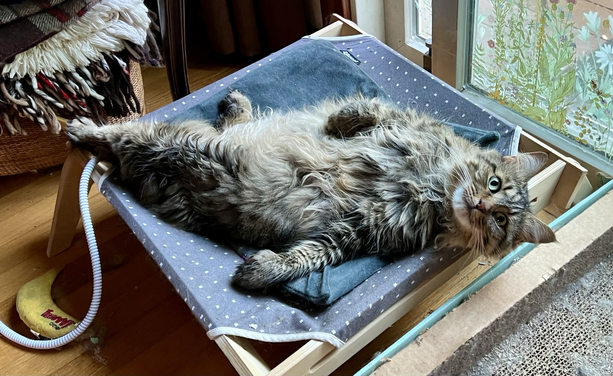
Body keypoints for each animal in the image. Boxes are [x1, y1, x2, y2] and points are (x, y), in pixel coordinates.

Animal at [67, 90, 556, 288]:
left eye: (500, 221)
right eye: (493, 183)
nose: (481, 204)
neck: (432, 190)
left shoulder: (357, 230)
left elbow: (308, 257)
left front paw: (263, 271)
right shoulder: (398, 121)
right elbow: (362, 110)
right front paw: (336, 128)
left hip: (192, 160)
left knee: (136, 143)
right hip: (193, 150)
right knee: (124, 133)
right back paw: (80, 126)